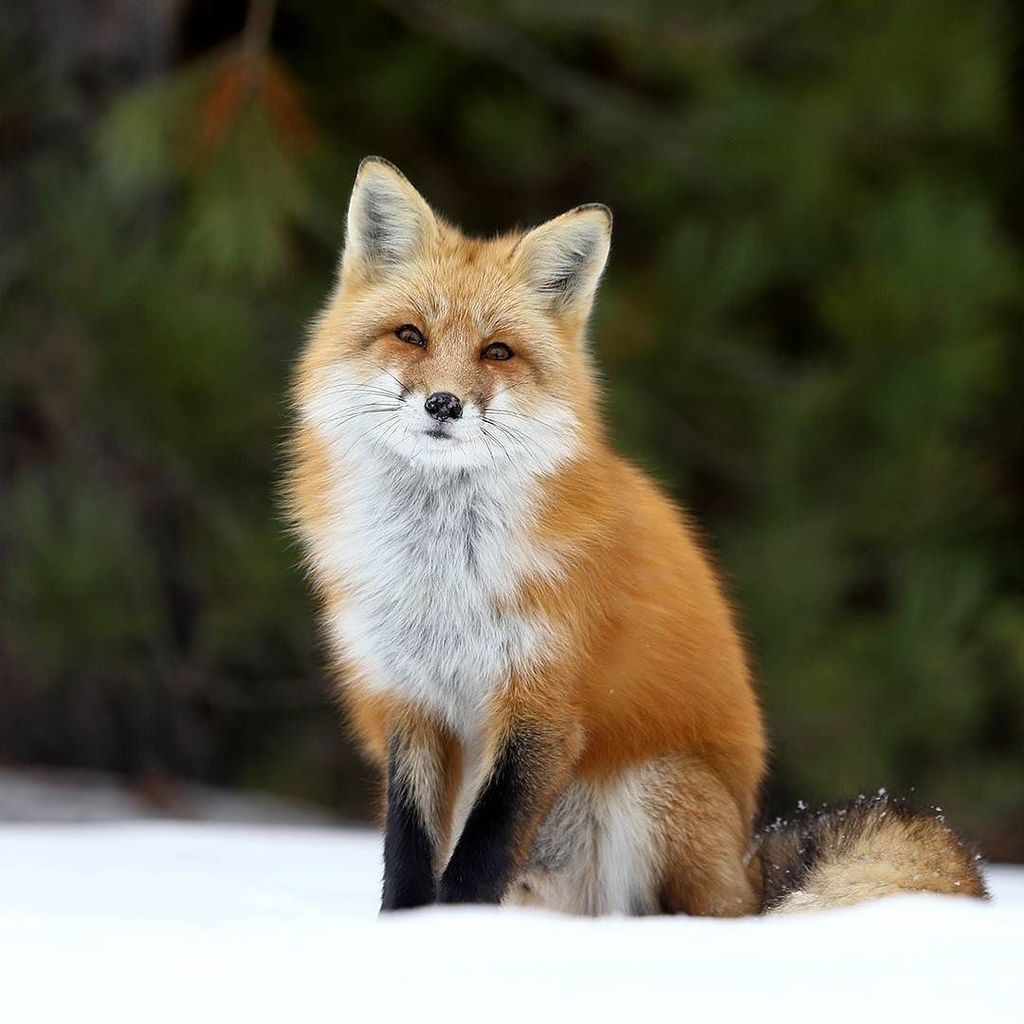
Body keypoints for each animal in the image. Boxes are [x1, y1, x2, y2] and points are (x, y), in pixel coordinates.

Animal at [288, 156, 988, 916]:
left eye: (497, 351)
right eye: (410, 335)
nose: (443, 404)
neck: (441, 575)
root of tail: (748, 867)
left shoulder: (542, 704)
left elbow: (480, 855)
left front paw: (460, 927)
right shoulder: (410, 703)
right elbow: (409, 855)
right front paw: (408, 930)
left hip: (651, 788)